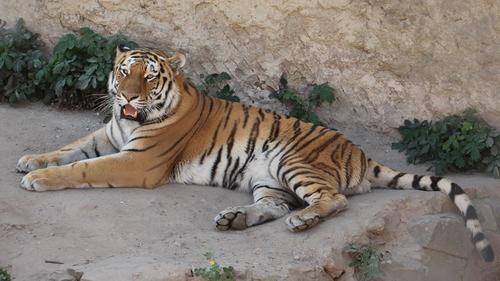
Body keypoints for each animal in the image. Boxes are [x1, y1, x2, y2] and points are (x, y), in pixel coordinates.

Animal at [15, 44, 492, 262]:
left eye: (149, 77)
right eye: (123, 71)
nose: (129, 96)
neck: (131, 120)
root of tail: (359, 152)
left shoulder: (137, 161)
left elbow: (84, 168)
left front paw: (37, 179)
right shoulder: (111, 134)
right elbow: (70, 149)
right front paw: (31, 160)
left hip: (292, 161)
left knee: (332, 199)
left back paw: (301, 220)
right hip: (268, 179)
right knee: (274, 207)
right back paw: (235, 219)